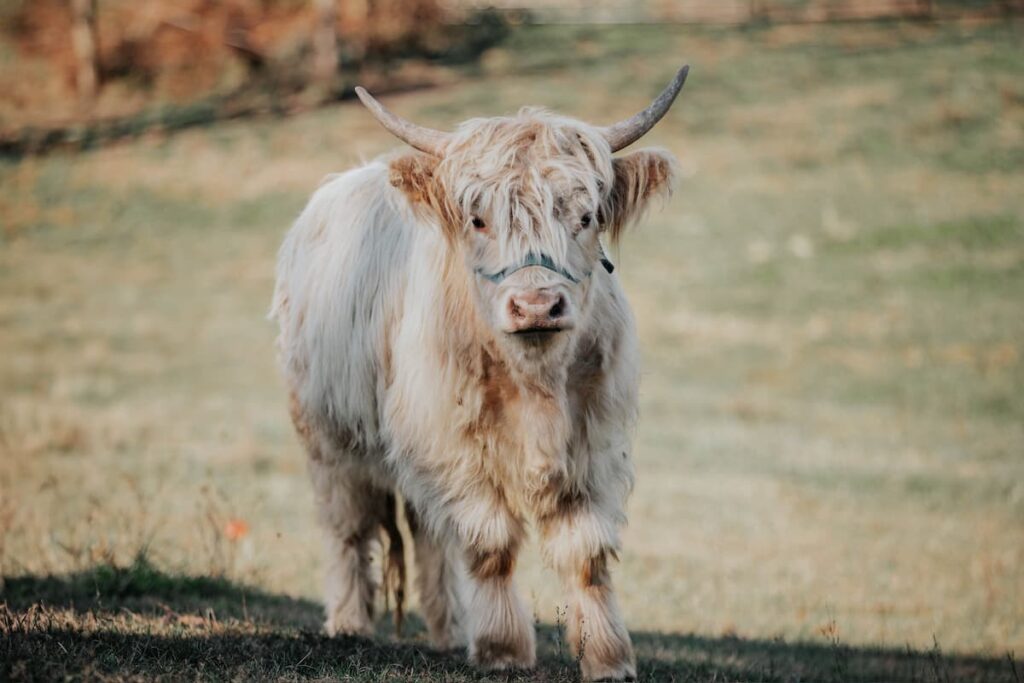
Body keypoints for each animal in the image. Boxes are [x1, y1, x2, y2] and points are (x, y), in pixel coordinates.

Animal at [271, 64, 688, 681]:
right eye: (478, 218)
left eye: (586, 216)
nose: (537, 306)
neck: (535, 379)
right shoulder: (455, 447)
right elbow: (490, 545)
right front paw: (503, 649)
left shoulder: (596, 445)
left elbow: (586, 555)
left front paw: (608, 657)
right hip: (331, 439)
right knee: (349, 529)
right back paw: (349, 622)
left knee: (429, 536)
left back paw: (448, 630)